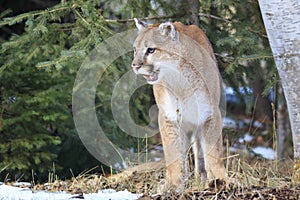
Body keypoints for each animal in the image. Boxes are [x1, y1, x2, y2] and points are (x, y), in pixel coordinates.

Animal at [131, 18, 225, 191]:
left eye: (151, 50)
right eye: (135, 49)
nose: (135, 65)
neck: (179, 81)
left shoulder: (210, 113)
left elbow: (214, 151)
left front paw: (220, 180)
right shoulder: (168, 116)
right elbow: (173, 153)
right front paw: (173, 184)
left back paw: (201, 176)